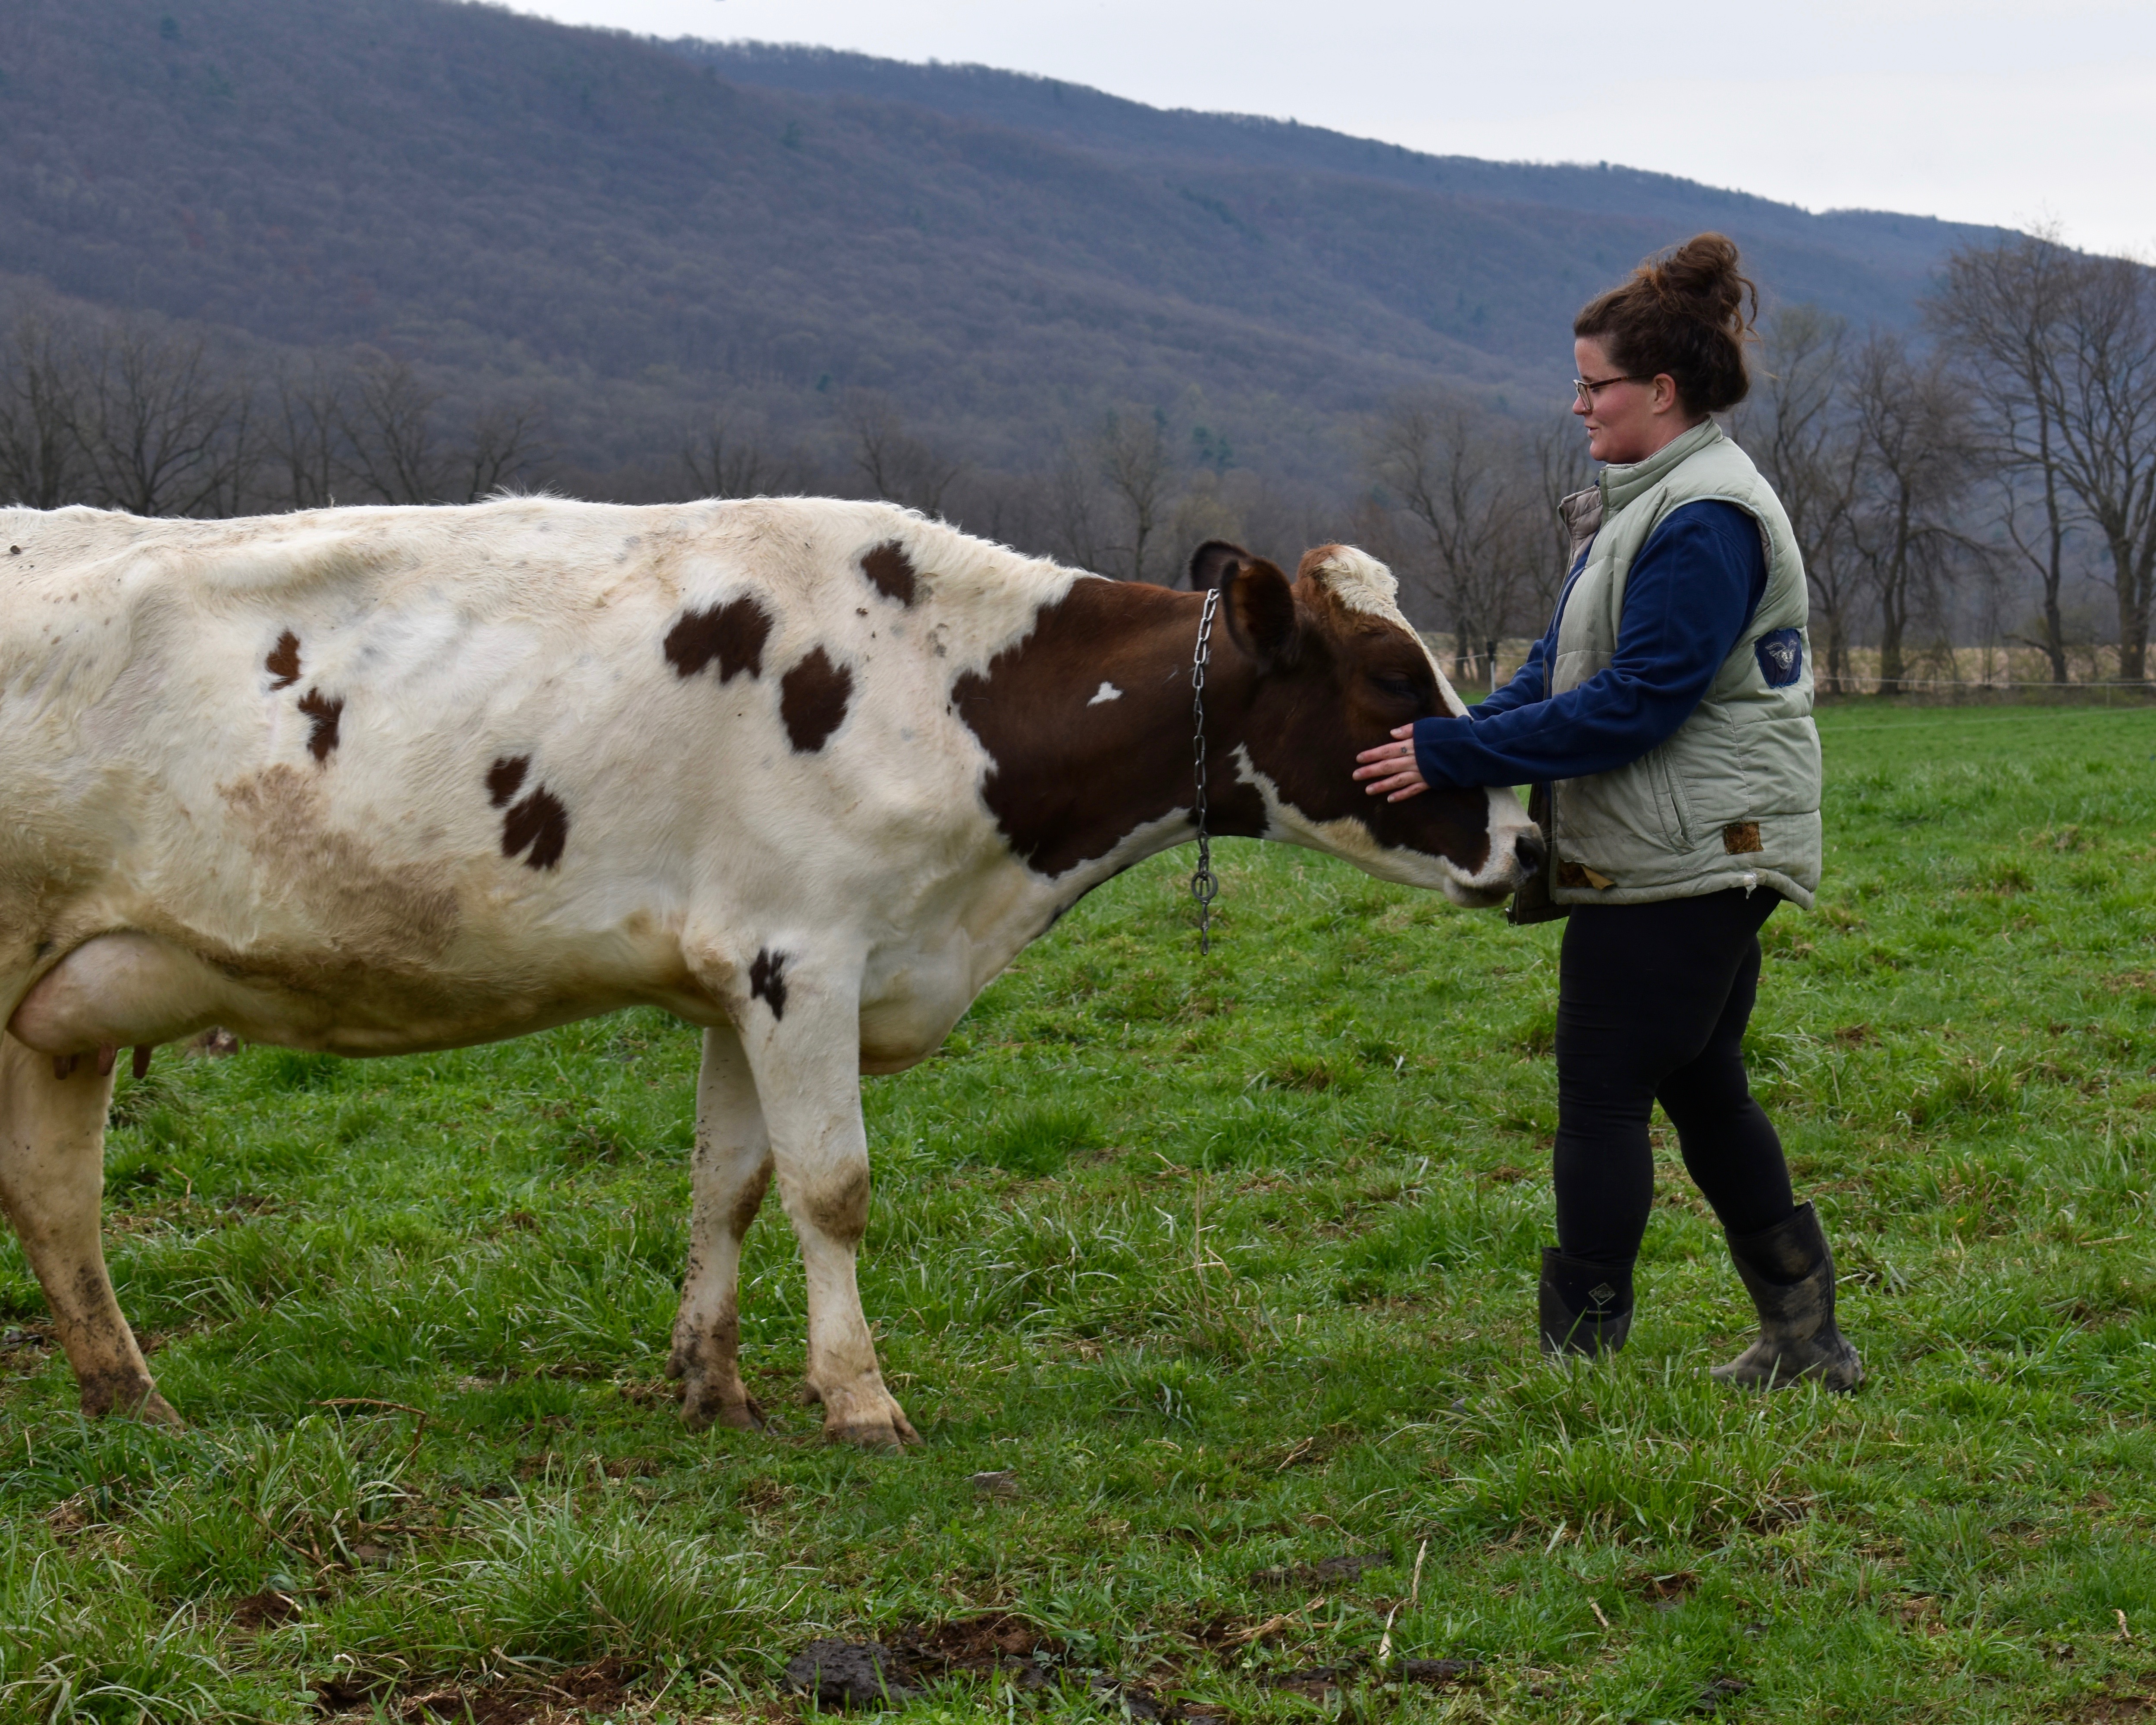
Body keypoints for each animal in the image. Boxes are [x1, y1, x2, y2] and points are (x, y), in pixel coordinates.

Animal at [4, 496, 1552, 1440]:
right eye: (1396, 678)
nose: (1536, 853)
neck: (946, 691)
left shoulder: (738, 978)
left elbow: (728, 1184)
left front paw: (712, 1382)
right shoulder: (803, 961)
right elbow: (833, 1187)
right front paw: (860, 1399)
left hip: (58, 1014)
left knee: (57, 1199)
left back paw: (132, 1399)